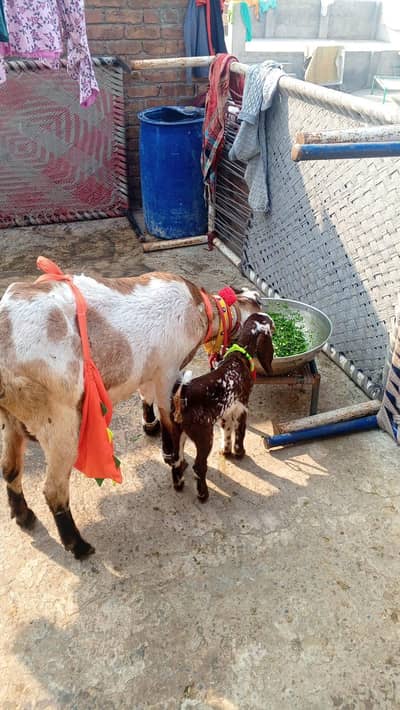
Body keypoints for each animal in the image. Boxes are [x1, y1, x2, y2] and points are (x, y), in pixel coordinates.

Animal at [0, 265, 263, 558]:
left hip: (12, 418)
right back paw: (78, 546)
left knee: (9, 469)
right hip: (58, 420)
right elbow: (169, 417)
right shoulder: (167, 371)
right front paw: (174, 459)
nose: (258, 298)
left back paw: (24, 516)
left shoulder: (149, 371)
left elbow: (146, 397)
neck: (201, 309)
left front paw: (151, 428)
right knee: (54, 490)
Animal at [170, 312, 274, 502]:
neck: (238, 357)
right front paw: (239, 453)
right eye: (271, 324)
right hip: (204, 437)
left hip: (177, 432)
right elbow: (240, 433)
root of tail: (182, 396)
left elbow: (227, 433)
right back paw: (203, 494)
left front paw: (226, 452)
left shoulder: (227, 412)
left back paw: (179, 484)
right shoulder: (242, 408)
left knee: (176, 459)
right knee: (199, 466)